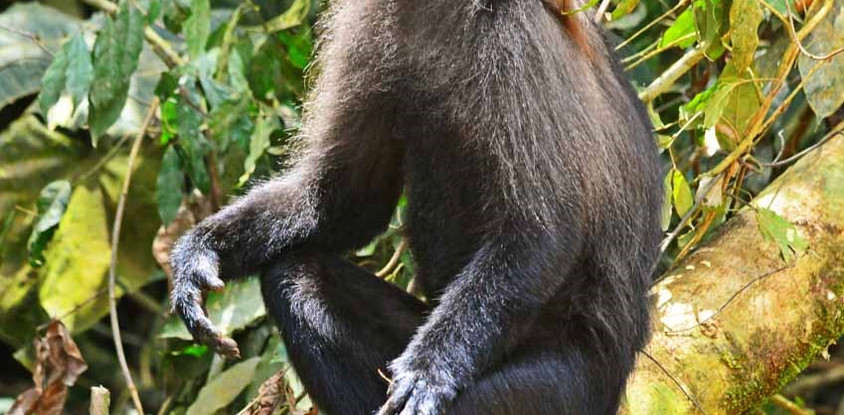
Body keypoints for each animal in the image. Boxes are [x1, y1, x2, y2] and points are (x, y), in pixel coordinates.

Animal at [169, 0, 662, 413]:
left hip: (562, 387)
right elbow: (344, 201)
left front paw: (429, 373)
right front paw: (199, 253)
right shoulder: (369, 19)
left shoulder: (511, 31)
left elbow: (541, 230)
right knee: (294, 275)